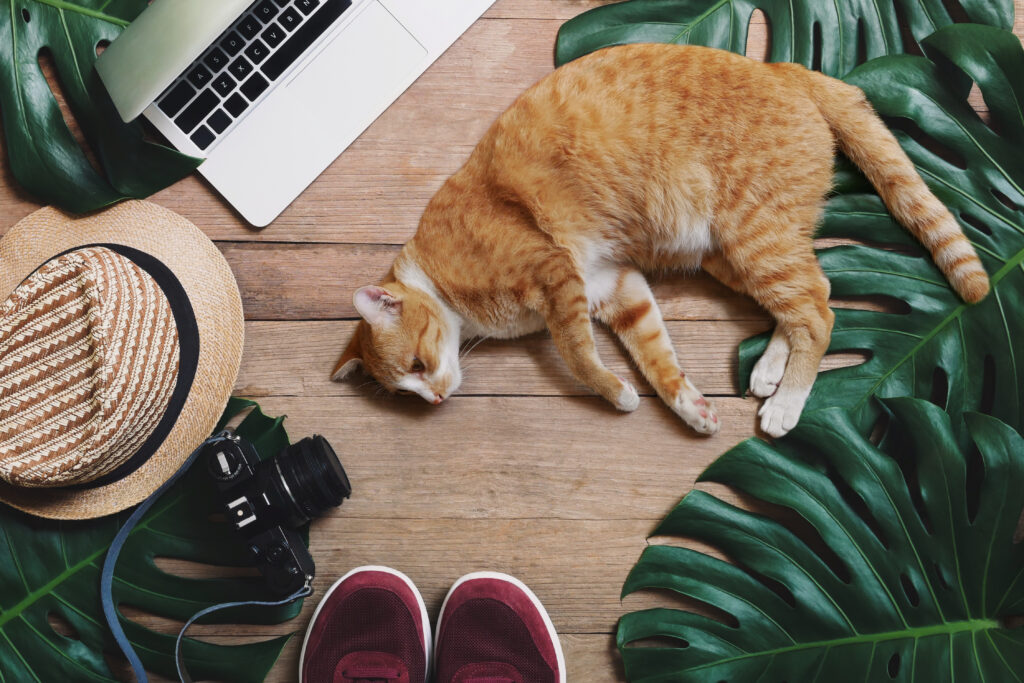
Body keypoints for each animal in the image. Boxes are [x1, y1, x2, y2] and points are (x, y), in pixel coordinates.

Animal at [331, 44, 987, 438]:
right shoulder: (614, 286)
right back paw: (770, 370)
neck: (442, 282)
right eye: (406, 390)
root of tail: (783, 69)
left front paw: (616, 394)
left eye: (418, 367)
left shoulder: (555, 275)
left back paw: (785, 404)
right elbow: (658, 360)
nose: (435, 401)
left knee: (819, 313)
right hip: (732, 254)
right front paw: (690, 407)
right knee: (813, 298)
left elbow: (579, 357)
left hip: (752, 239)